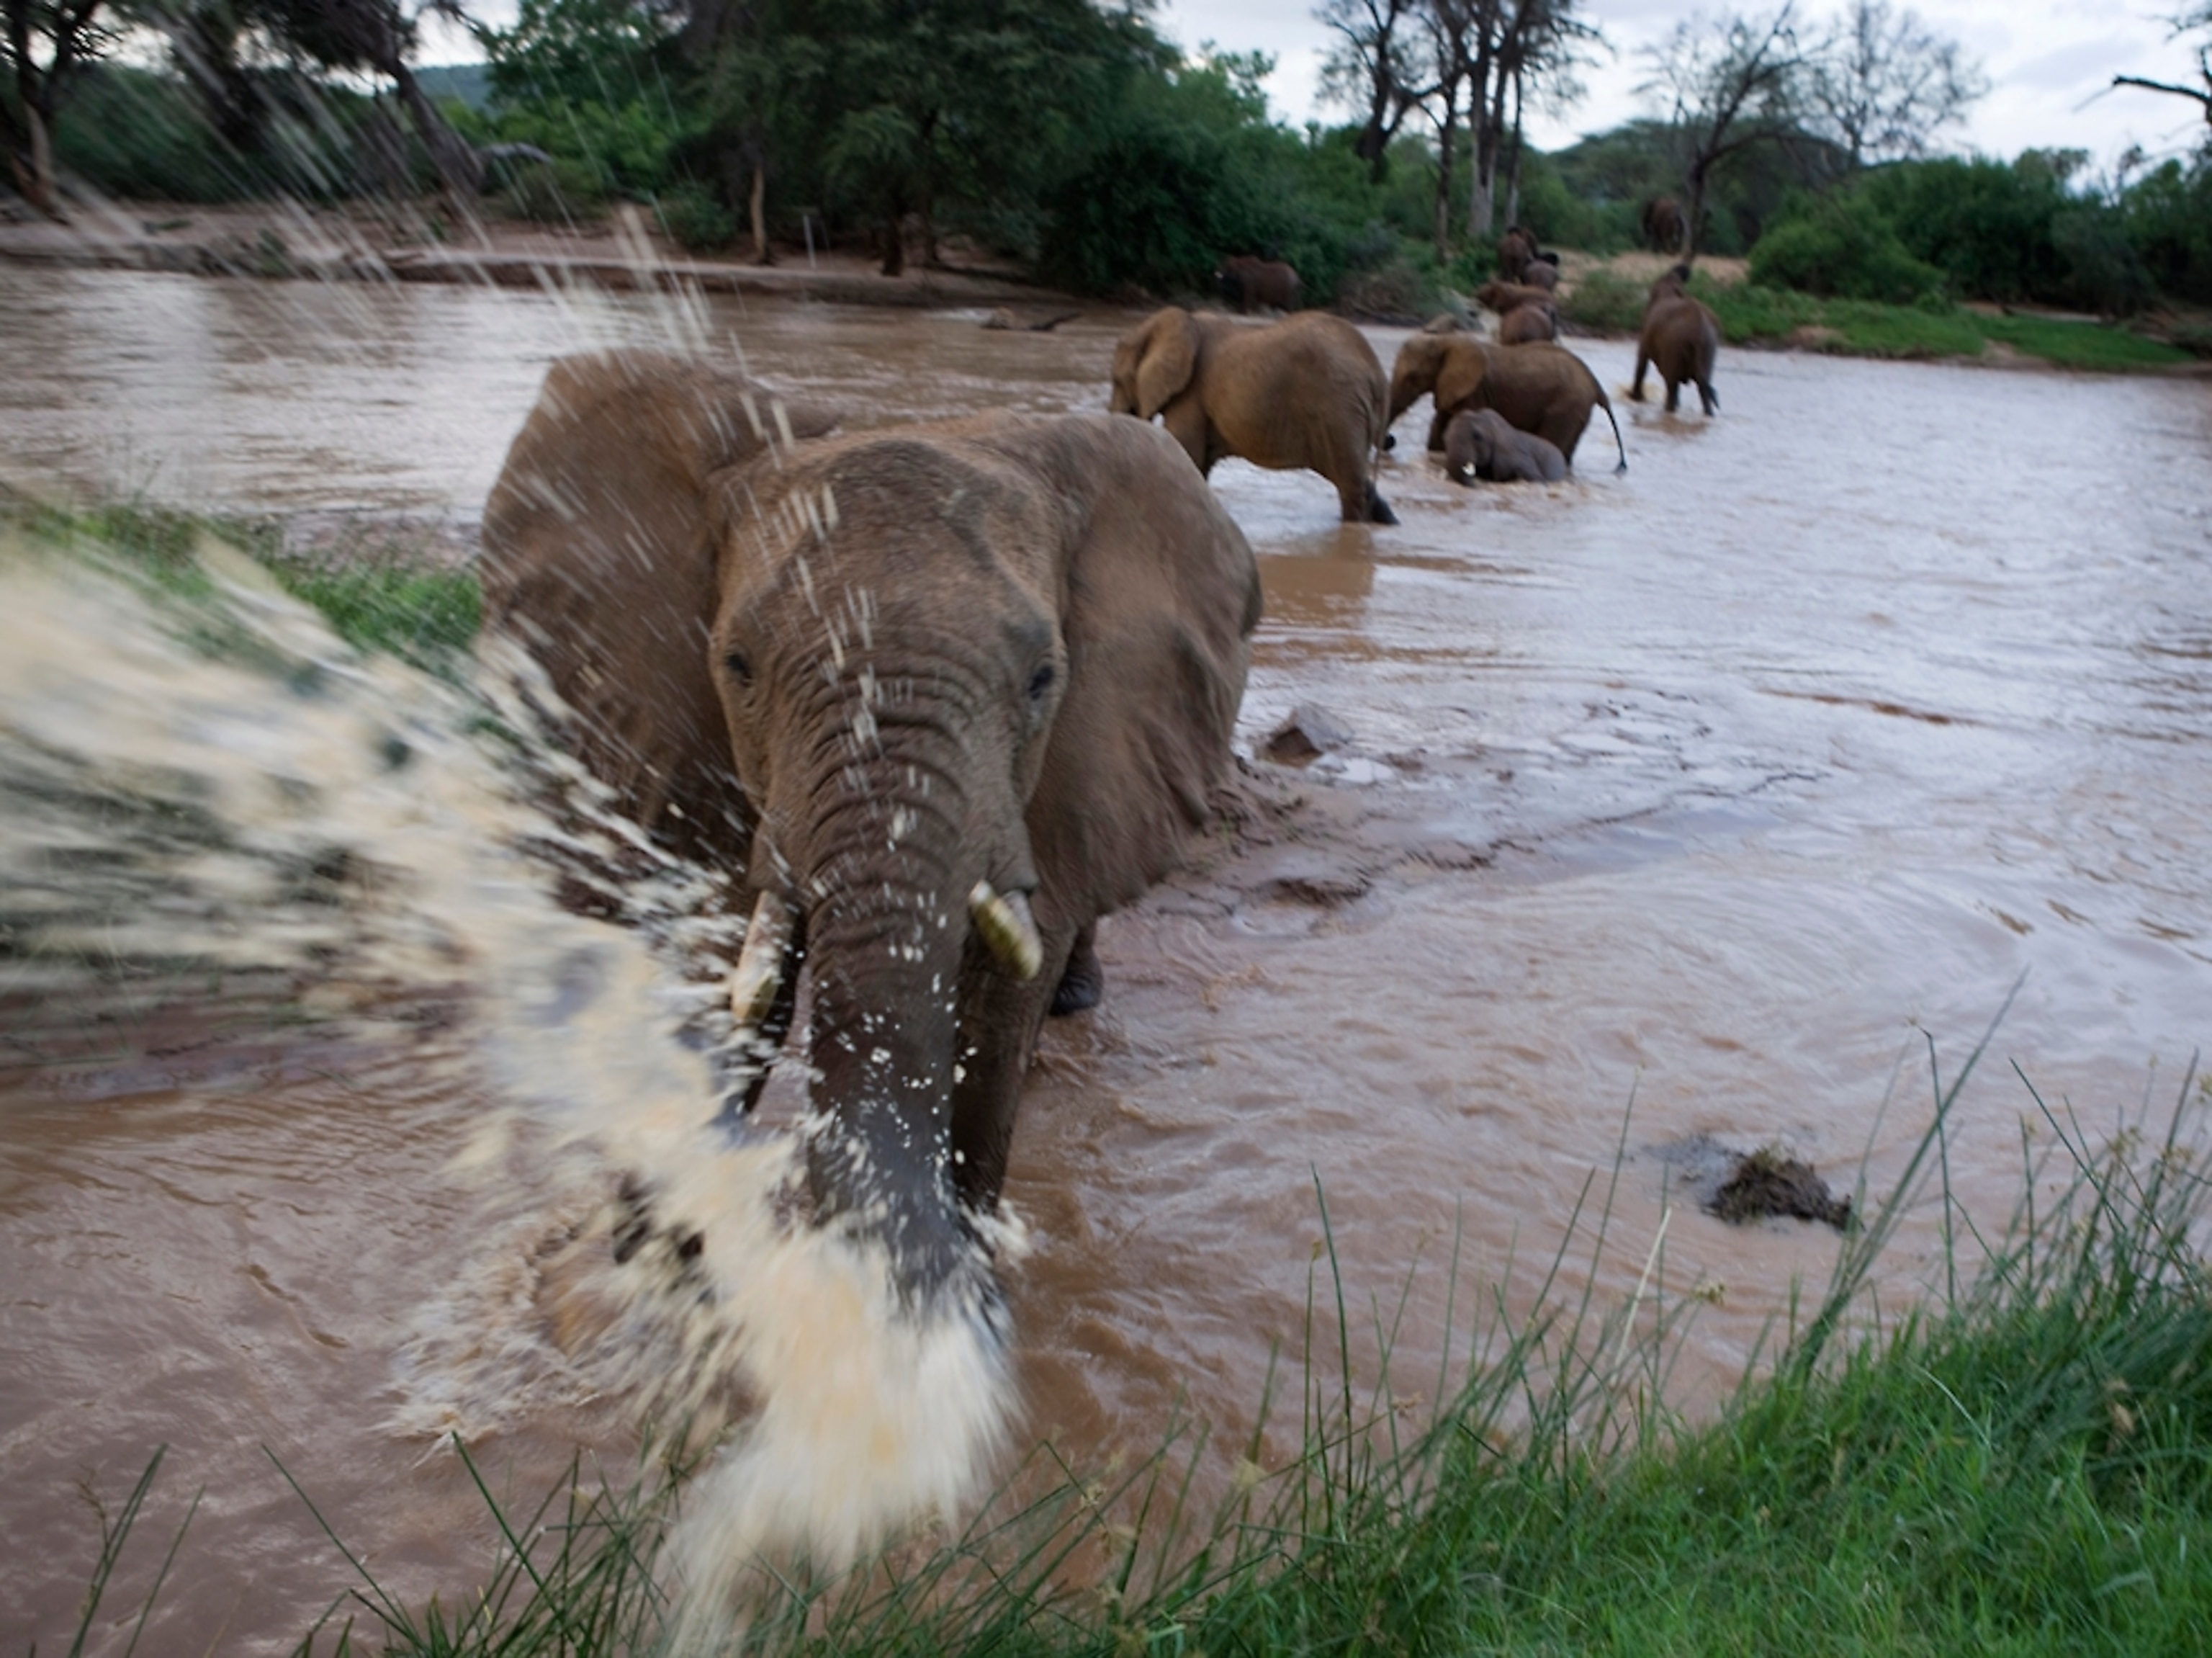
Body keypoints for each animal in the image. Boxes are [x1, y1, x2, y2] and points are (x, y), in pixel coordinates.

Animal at [482, 349, 1261, 1322]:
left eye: (1043, 677)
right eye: (737, 665)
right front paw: (652, 1282)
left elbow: (991, 1015)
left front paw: (959, 1315)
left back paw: (1075, 1001)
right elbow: (735, 971)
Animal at [1108, 306, 1398, 525]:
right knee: (1359, 482)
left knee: (1349, 485)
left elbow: (1187, 452)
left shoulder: (1191, 394)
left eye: (1117, 380)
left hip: (1338, 409)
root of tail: (1376, 373)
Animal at [1387, 334, 1626, 472]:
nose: (1391, 440)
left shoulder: (1475, 392)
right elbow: (1439, 431)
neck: (1444, 341)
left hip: (1568, 405)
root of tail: (1595, 383)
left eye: (1412, 378)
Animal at [1631, 263, 1721, 416]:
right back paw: (1708, 414)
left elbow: (1642, 360)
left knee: (1672, 385)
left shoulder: (1646, 330)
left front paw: (1635, 399)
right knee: (1702, 388)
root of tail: (1698, 331)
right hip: (1708, 348)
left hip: (1674, 345)